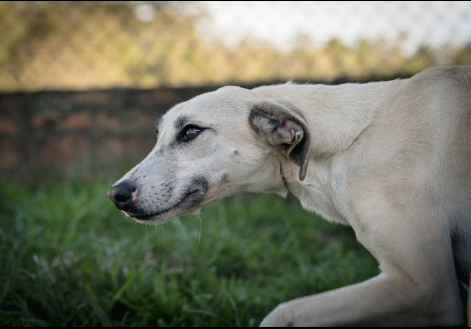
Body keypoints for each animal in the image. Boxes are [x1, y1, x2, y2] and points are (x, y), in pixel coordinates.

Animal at [109, 66, 471, 326]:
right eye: (158, 136)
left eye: (191, 132)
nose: (116, 194)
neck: (349, 141)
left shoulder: (424, 288)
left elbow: (283, 312)